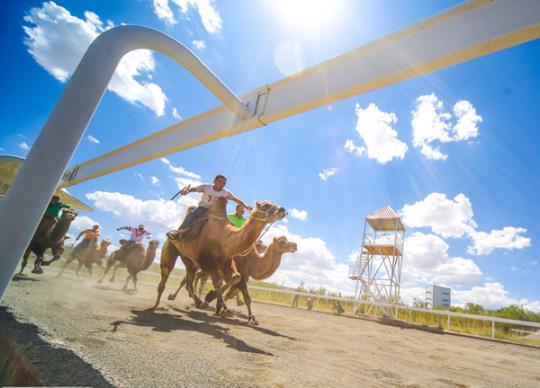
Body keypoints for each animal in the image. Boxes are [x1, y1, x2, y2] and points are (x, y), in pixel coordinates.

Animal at [153, 199, 286, 314]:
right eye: (266, 205)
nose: (283, 210)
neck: (224, 241)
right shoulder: (208, 264)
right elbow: (219, 284)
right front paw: (213, 300)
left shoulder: (226, 264)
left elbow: (234, 278)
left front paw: (219, 305)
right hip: (172, 249)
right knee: (167, 274)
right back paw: (158, 305)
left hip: (189, 261)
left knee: (189, 281)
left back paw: (196, 301)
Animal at [169, 236, 298, 324]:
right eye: (282, 242)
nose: (295, 245)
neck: (252, 260)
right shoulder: (238, 276)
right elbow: (241, 296)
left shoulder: (241, 278)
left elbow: (234, 294)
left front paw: (221, 308)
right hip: (194, 262)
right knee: (188, 279)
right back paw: (179, 297)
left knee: (194, 278)